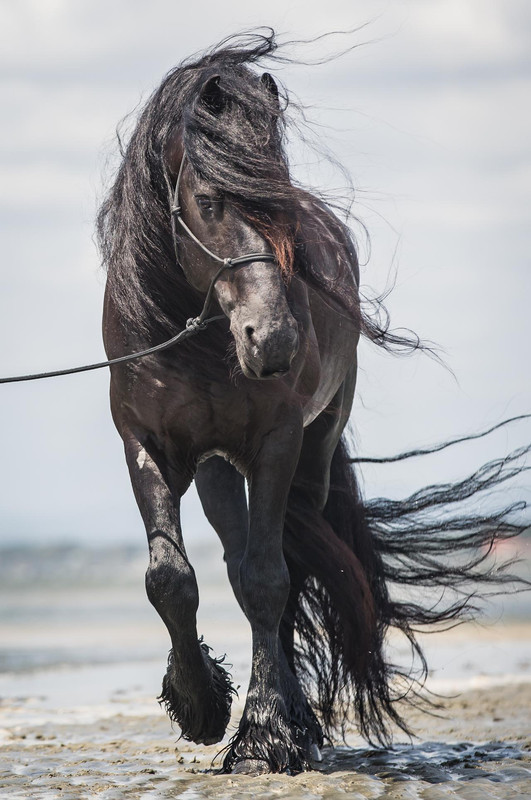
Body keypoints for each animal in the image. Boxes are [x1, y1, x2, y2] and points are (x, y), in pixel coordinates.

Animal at [98, 32, 528, 776]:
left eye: (281, 206)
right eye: (209, 198)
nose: (273, 339)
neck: (192, 332)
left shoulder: (276, 442)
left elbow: (270, 581)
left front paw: (265, 734)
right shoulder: (145, 444)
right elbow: (169, 579)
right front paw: (200, 705)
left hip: (311, 451)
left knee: (280, 570)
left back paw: (293, 719)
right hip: (217, 467)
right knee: (236, 557)